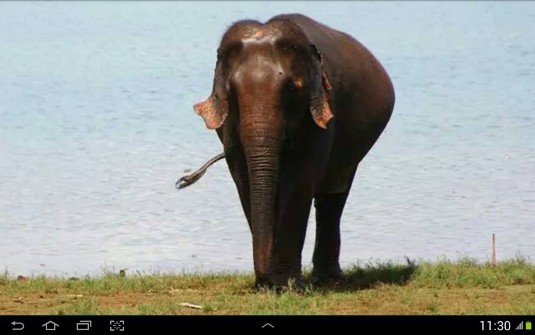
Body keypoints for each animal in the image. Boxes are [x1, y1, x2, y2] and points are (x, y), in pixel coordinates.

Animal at [191, 13, 396, 288]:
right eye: (232, 92)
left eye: (291, 88)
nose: (262, 279)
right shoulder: (229, 128)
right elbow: (243, 178)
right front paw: (271, 285)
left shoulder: (321, 114)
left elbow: (300, 180)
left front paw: (286, 285)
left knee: (333, 195)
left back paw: (328, 280)